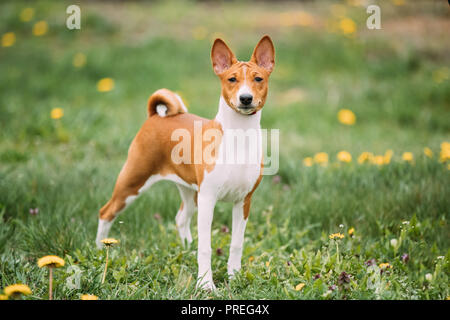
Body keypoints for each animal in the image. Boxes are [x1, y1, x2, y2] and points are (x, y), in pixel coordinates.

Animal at [95, 35, 274, 290]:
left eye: (258, 79)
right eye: (232, 79)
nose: (246, 98)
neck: (239, 136)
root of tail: (156, 116)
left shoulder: (243, 201)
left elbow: (236, 244)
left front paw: (234, 277)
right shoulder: (209, 198)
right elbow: (206, 247)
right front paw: (206, 285)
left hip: (190, 192)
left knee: (181, 218)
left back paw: (187, 249)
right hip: (132, 182)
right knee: (106, 212)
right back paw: (100, 251)